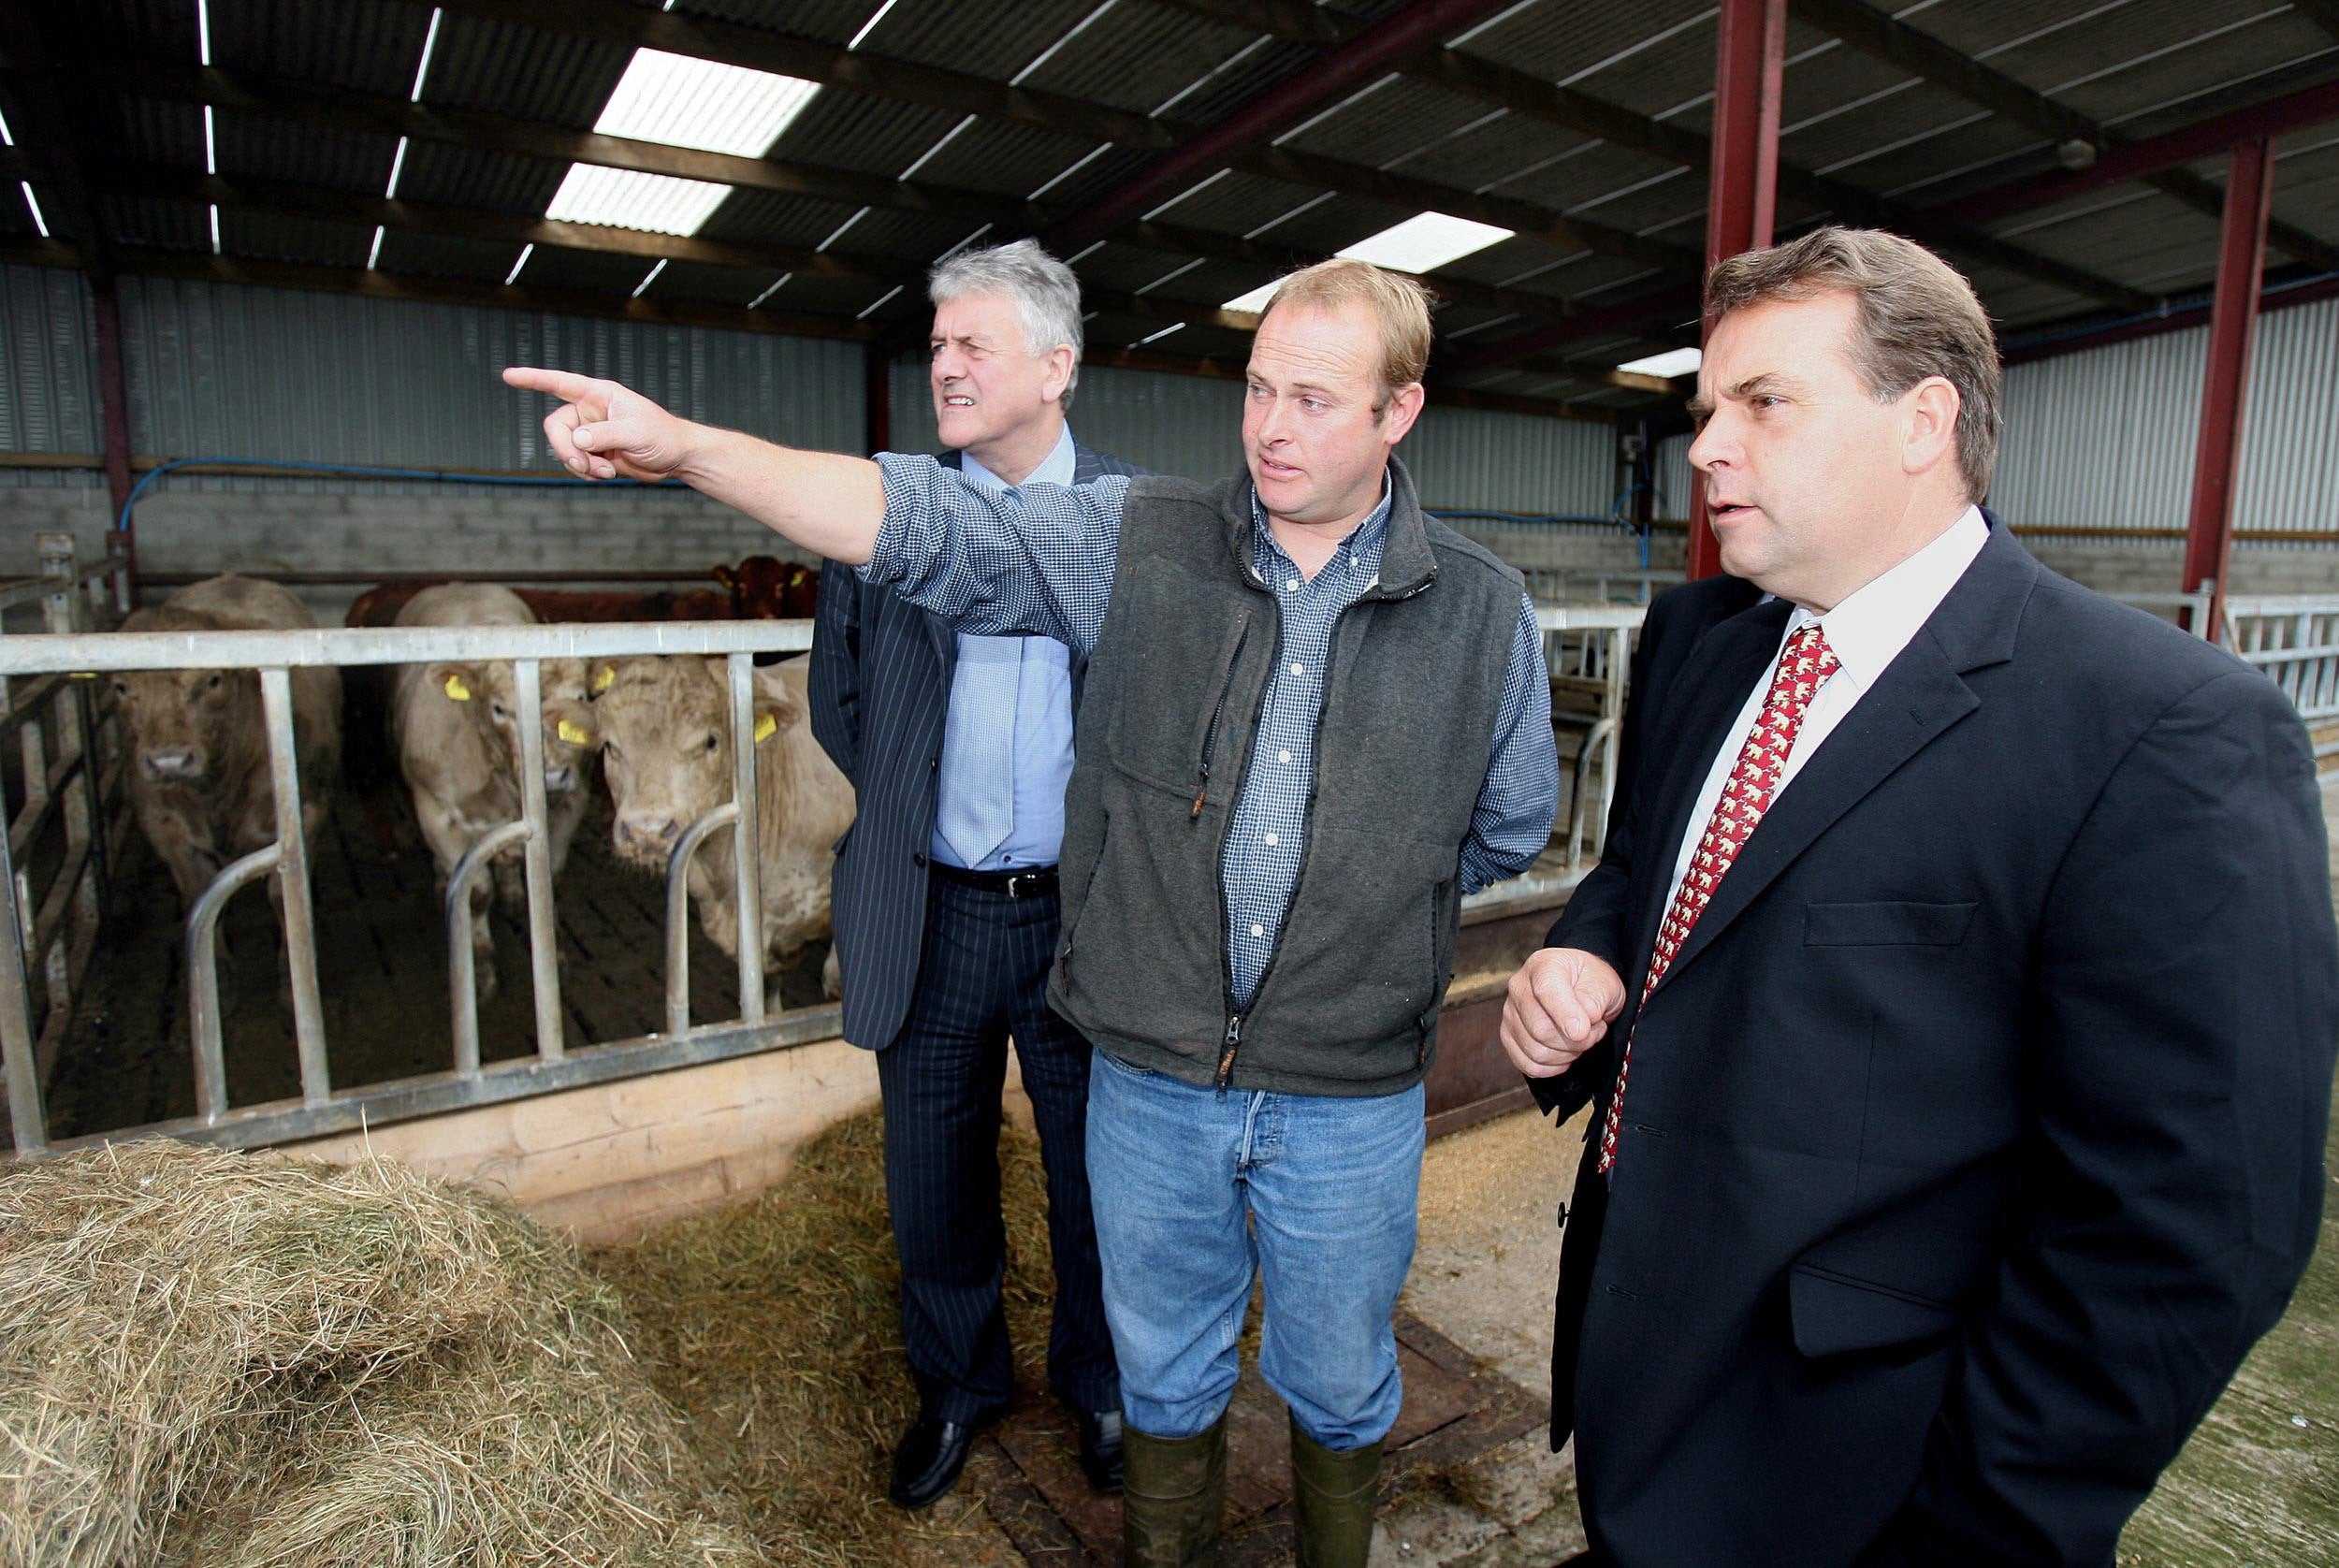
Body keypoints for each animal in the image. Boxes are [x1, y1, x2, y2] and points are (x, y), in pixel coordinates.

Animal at [114, 577, 343, 917]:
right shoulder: (165, 827)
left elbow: (285, 898)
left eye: (213, 680)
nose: (169, 761)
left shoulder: (307, 813)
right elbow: (201, 903)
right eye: (120, 686)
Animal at [388, 582, 599, 1001]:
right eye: (500, 709)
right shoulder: (436, 812)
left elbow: (547, 883)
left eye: (581, 698)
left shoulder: (573, 804)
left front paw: (554, 956)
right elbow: (475, 894)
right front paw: (481, 968)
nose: (553, 776)